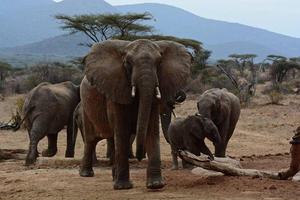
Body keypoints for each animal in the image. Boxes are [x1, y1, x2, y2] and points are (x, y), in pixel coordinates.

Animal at [81, 38, 191, 189]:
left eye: (159, 62)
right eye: (128, 63)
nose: (139, 158)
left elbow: (151, 129)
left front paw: (155, 185)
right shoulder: (116, 89)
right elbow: (121, 130)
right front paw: (123, 187)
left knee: (112, 139)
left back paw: (113, 177)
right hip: (85, 106)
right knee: (91, 139)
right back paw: (86, 174)